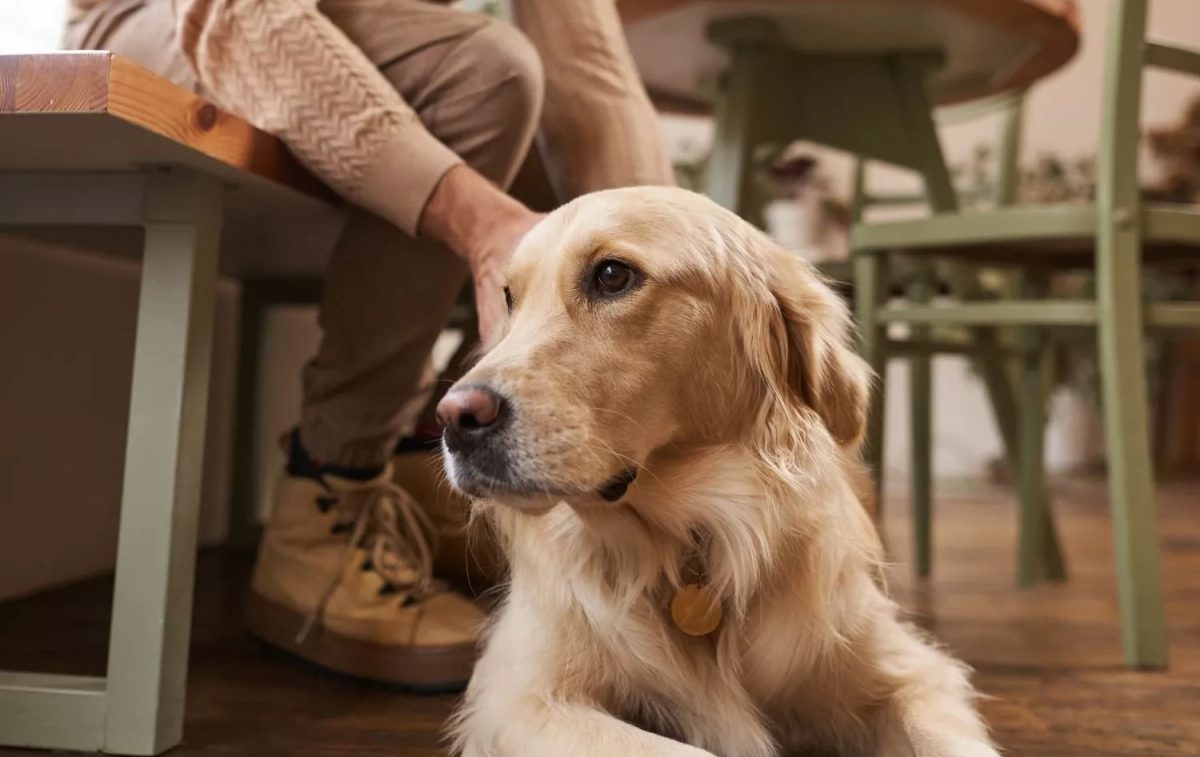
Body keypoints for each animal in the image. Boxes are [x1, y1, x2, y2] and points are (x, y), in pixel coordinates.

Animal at [432, 184, 993, 757]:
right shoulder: (521, 697)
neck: (694, 544)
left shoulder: (914, 671)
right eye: (509, 298)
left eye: (612, 276)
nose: (454, 419)